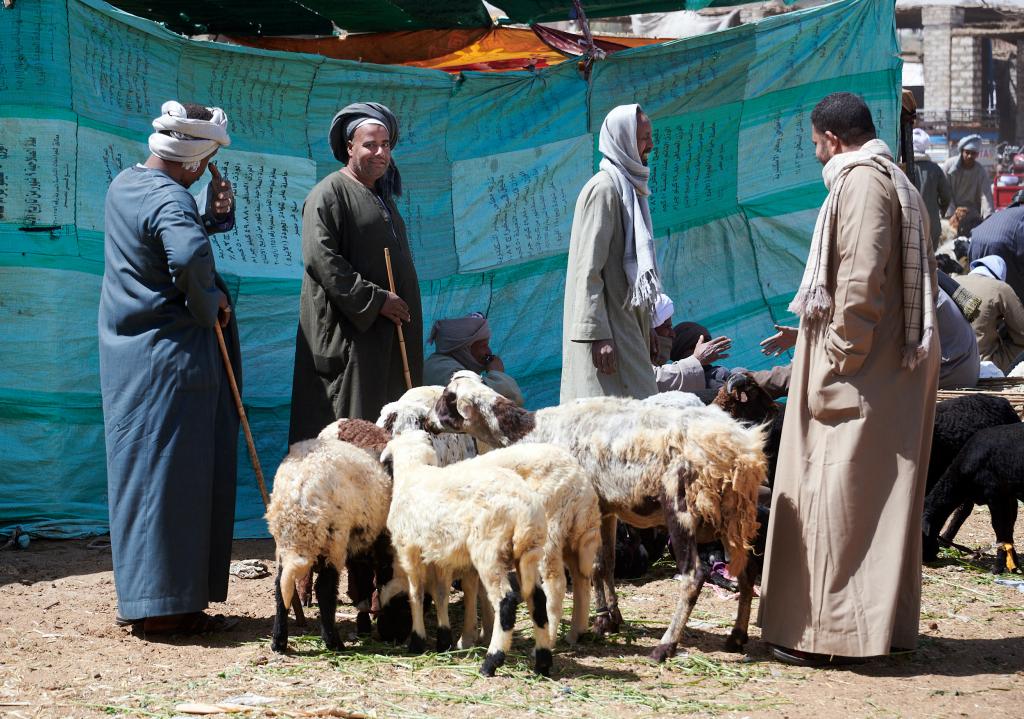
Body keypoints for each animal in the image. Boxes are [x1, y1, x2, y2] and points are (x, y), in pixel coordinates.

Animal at [266, 436, 393, 655]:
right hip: (333, 541)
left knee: (281, 585)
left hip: (283, 545)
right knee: (324, 589)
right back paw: (334, 642)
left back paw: (279, 641)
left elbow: (363, 585)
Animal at [378, 430, 552, 680]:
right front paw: (444, 640)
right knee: (538, 600)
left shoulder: (408, 550)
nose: (383, 634)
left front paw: (417, 641)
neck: (413, 472)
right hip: (529, 553)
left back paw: (491, 662)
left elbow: (416, 594)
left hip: (489, 551)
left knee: (506, 601)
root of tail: (525, 509)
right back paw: (543, 663)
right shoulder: (439, 555)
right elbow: (440, 593)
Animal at [434, 372, 770, 663]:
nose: (429, 422)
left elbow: (592, 567)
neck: (528, 429)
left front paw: (599, 620)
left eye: (446, 399)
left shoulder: (585, 509)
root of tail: (743, 452)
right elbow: (605, 564)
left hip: (683, 507)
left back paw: (666, 646)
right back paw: (736, 636)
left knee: (694, 575)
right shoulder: (606, 508)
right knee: (747, 570)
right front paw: (609, 619)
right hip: (729, 516)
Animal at [921, 426, 1024, 577]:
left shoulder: (996, 495)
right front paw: (1013, 564)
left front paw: (997, 568)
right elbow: (1008, 529)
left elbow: (1000, 529)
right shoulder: (1008, 496)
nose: (928, 558)